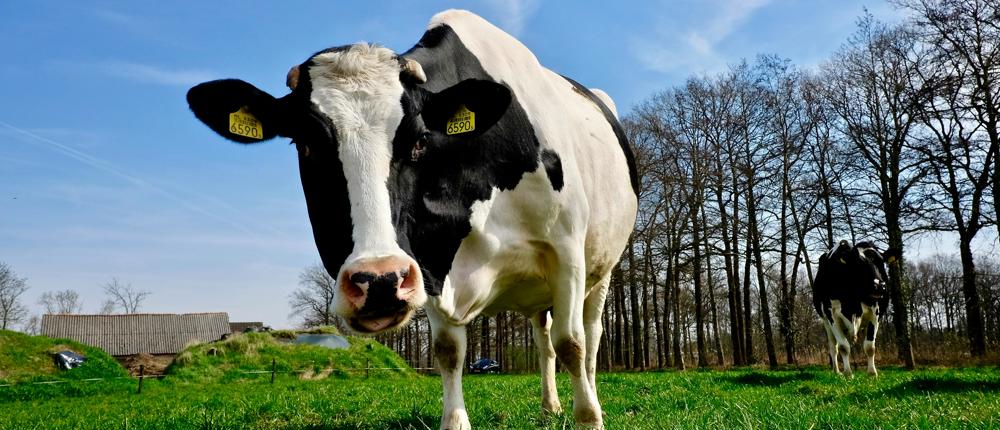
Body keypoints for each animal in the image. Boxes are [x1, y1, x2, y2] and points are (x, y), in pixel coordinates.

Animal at [185, 10, 637, 429]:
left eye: (420, 139)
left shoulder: (566, 251)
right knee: (543, 339)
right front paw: (454, 421)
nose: (380, 281)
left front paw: (589, 418)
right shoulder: (428, 261)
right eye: (304, 144)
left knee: (588, 336)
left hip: (602, 269)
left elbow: (572, 342)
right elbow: (449, 351)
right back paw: (549, 406)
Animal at [812, 240, 900, 377]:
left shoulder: (875, 314)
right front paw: (848, 373)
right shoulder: (832, 316)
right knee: (833, 347)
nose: (879, 285)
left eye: (881, 262)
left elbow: (870, 347)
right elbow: (843, 347)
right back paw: (837, 371)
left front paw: (872, 373)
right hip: (825, 321)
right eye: (858, 263)